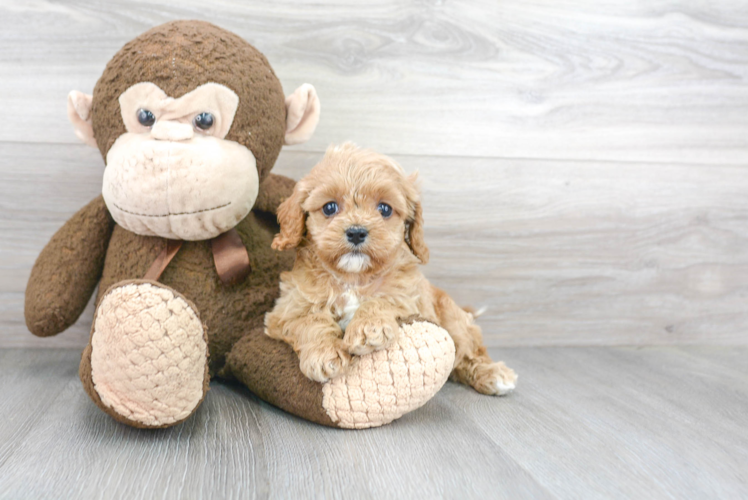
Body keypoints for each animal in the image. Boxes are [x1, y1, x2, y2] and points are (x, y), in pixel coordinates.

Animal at [266, 143, 516, 396]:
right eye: (329, 207)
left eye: (385, 209)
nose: (356, 232)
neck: (354, 278)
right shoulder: (287, 309)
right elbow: (310, 320)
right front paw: (324, 354)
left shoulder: (410, 299)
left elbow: (383, 300)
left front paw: (368, 328)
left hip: (453, 320)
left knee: (469, 351)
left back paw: (494, 374)